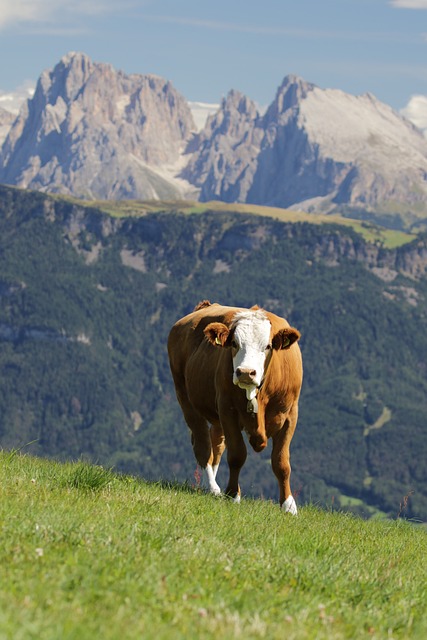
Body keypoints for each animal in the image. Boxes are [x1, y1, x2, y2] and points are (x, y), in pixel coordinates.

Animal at [167, 300, 304, 516]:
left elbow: (281, 462)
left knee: (216, 445)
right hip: (185, 398)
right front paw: (232, 495)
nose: (246, 372)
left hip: (216, 417)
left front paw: (288, 505)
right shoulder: (228, 410)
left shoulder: (290, 415)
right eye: (234, 343)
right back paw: (213, 488)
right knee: (203, 446)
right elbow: (237, 455)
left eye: (267, 346)